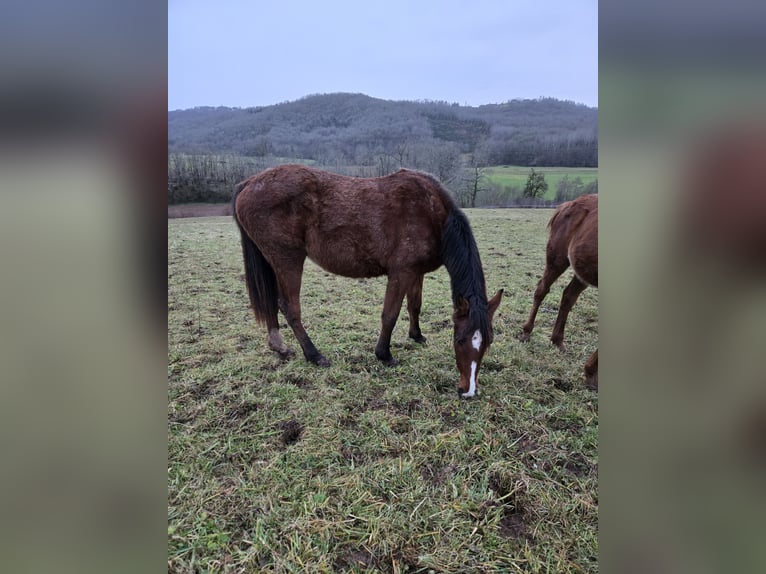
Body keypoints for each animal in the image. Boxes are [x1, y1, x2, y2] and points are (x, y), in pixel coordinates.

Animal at [233, 164, 503, 398]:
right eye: (459, 340)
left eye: (488, 341)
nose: (468, 390)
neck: (431, 212)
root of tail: (249, 183)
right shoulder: (401, 273)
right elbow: (390, 315)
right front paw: (384, 354)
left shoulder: (416, 272)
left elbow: (414, 306)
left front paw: (416, 336)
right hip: (288, 260)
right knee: (290, 307)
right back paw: (314, 355)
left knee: (272, 302)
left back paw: (279, 346)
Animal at [519, 194, 598, 387]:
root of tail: (567, 204)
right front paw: (591, 373)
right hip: (558, 258)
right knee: (542, 289)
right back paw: (527, 332)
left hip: (582, 271)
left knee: (568, 295)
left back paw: (557, 341)